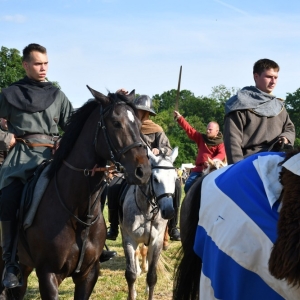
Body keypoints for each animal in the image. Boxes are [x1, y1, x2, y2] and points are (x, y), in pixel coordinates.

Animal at [0, 85, 150, 298]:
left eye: (138, 123)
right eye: (115, 123)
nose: (143, 171)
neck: (76, 211)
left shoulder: (88, 275)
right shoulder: (48, 275)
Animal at [120, 146, 179, 298]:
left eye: (175, 178)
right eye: (156, 179)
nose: (169, 211)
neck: (146, 210)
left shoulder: (156, 241)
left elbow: (152, 276)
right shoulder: (129, 240)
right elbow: (131, 275)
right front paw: (132, 293)